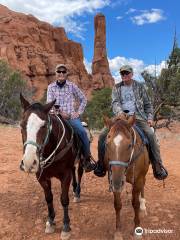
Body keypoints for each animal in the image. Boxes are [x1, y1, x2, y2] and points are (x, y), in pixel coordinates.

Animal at [19, 94, 83, 240]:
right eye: (22, 125)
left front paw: (66, 227)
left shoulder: (65, 175)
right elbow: (49, 198)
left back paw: (77, 193)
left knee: (80, 172)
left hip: (82, 160)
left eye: (44, 126)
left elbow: (64, 199)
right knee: (74, 172)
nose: (29, 162)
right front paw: (50, 221)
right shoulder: (41, 177)